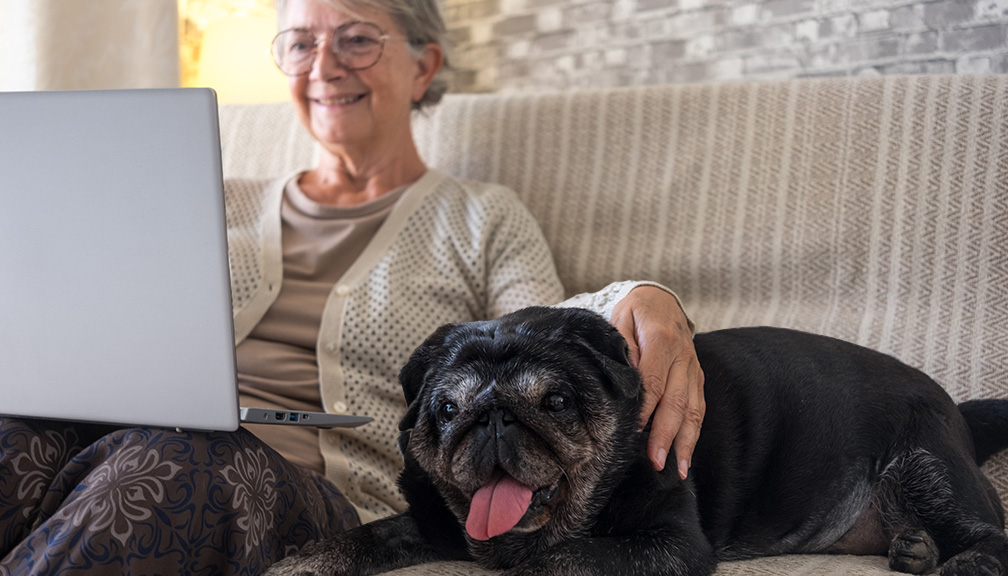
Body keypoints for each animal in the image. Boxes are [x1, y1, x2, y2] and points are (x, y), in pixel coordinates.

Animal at [268, 306, 1008, 576]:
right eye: (447, 409)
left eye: (556, 402)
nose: (492, 416)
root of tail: (956, 409)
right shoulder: (430, 526)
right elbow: (363, 537)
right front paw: (302, 561)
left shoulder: (670, 546)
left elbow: (563, 557)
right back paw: (914, 549)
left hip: (925, 465)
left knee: (993, 537)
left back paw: (949, 560)